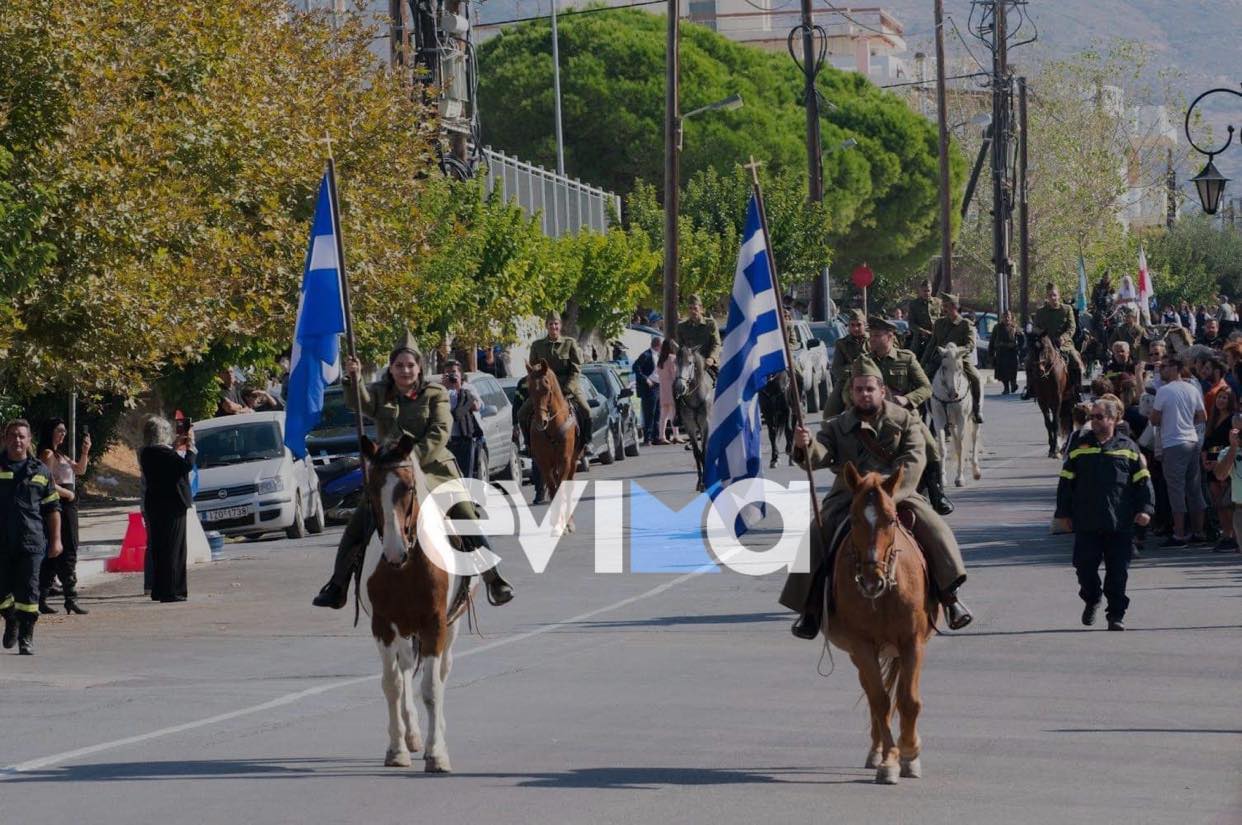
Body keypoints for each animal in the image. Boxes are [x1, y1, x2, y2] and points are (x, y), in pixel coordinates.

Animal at [362, 432, 476, 775]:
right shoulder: (383, 625)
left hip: (450, 626)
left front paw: (436, 753)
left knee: (441, 673)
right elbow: (392, 685)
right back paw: (411, 735)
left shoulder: (435, 624)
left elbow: (431, 689)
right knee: (404, 670)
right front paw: (397, 749)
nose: (393, 550)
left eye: (408, 487)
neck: (408, 564)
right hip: (403, 631)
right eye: (371, 488)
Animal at [524, 360, 581, 534]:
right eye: (529, 389)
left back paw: (570, 521)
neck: (552, 427)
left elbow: (561, 489)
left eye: (546, 388)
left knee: (568, 489)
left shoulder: (565, 461)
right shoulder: (544, 463)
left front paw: (565, 524)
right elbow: (552, 488)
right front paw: (556, 523)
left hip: (573, 462)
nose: (540, 421)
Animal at [824, 464, 938, 785]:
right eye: (853, 518)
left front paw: (910, 753)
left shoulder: (912, 642)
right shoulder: (862, 646)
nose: (870, 580)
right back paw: (876, 751)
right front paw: (889, 760)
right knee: (873, 692)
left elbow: (909, 700)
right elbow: (880, 700)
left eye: (890, 519)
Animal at [933, 342, 978, 487]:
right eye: (944, 367)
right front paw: (942, 479)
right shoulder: (938, 420)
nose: (954, 394)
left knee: (974, 438)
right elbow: (942, 448)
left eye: (960, 368)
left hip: (974, 420)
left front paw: (960, 478)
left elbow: (960, 447)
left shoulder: (961, 420)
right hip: (951, 424)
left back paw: (976, 471)